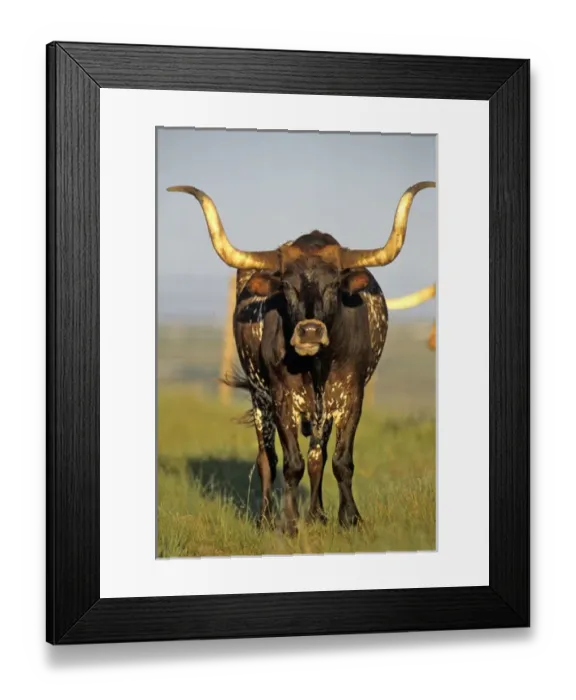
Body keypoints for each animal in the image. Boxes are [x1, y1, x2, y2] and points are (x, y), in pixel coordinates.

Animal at [167, 180, 435, 535]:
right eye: (286, 286)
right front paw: (288, 524)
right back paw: (266, 518)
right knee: (267, 458)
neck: (316, 366)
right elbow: (290, 464)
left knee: (317, 456)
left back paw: (317, 514)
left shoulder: (351, 399)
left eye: (333, 284)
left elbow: (339, 461)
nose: (309, 331)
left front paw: (349, 518)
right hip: (260, 399)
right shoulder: (283, 401)